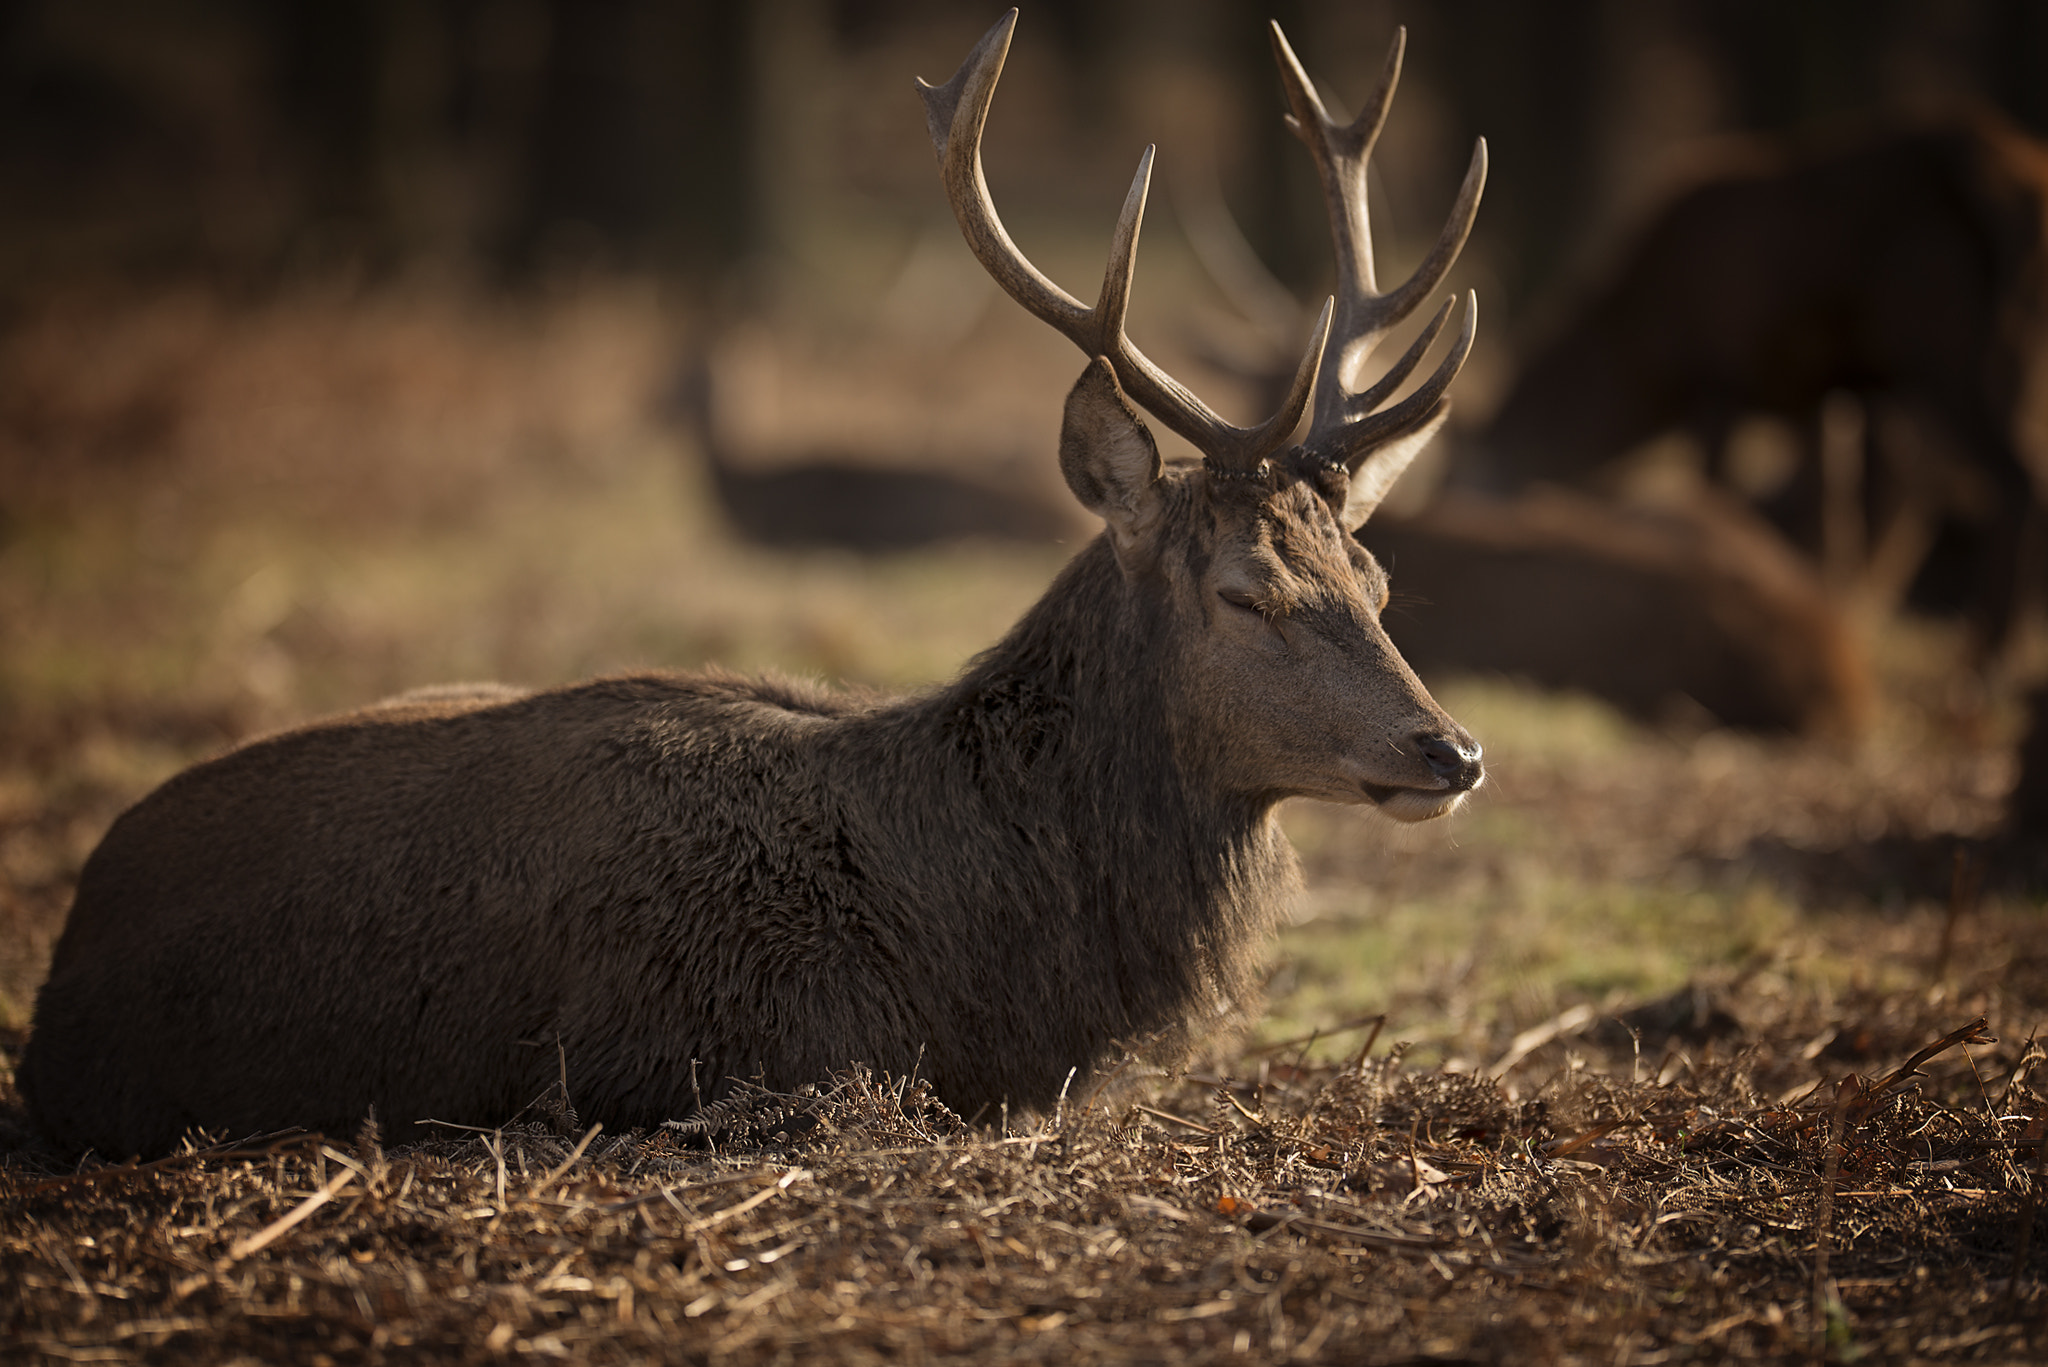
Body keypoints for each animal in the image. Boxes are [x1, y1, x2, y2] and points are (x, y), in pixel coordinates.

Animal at [16, 13, 1490, 1164]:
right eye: (1246, 588)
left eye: (1376, 573)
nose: (1453, 749)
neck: (988, 946)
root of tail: (68, 933)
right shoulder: (735, 1051)